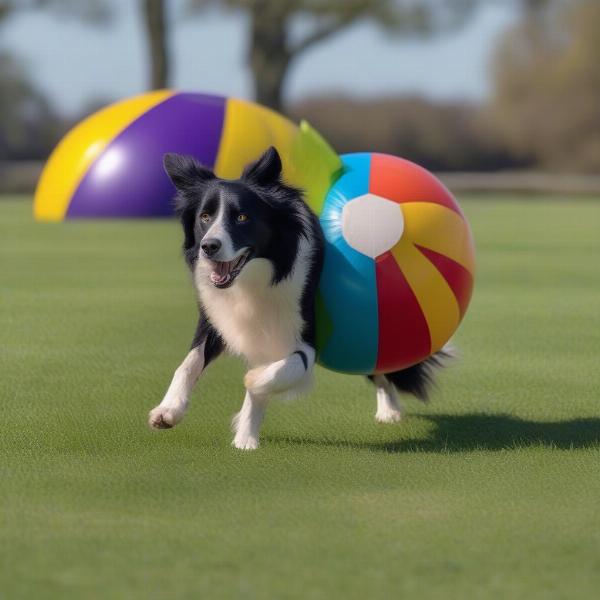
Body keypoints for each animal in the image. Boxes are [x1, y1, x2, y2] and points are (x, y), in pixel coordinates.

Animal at [149, 146, 448, 450]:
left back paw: (390, 410)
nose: (209, 246)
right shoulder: (216, 318)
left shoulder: (302, 333)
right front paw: (169, 410)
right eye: (205, 217)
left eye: (242, 217)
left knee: (379, 367)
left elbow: (278, 372)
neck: (258, 275)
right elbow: (189, 363)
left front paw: (247, 421)